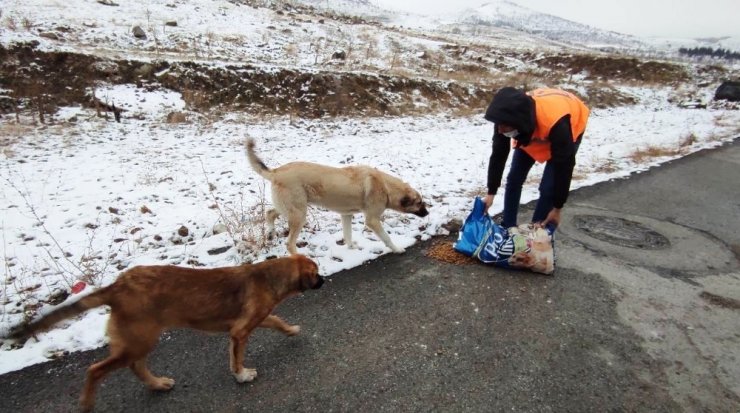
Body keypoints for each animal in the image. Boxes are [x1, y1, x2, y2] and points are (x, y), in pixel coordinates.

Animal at [5, 254, 324, 408]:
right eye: (317, 272)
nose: (322, 281)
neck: (269, 275)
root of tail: (117, 287)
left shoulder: (255, 319)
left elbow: (277, 321)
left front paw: (291, 330)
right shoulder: (240, 331)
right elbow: (237, 358)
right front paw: (242, 375)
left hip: (140, 339)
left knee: (135, 366)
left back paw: (158, 384)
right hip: (140, 339)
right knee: (96, 370)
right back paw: (87, 403)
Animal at [244, 138, 428, 253]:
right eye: (419, 203)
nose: (427, 213)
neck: (386, 186)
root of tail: (276, 172)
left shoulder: (346, 216)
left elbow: (348, 236)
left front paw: (352, 248)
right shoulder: (372, 221)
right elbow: (387, 238)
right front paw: (397, 249)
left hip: (290, 209)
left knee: (269, 213)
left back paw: (270, 232)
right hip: (299, 214)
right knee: (289, 244)